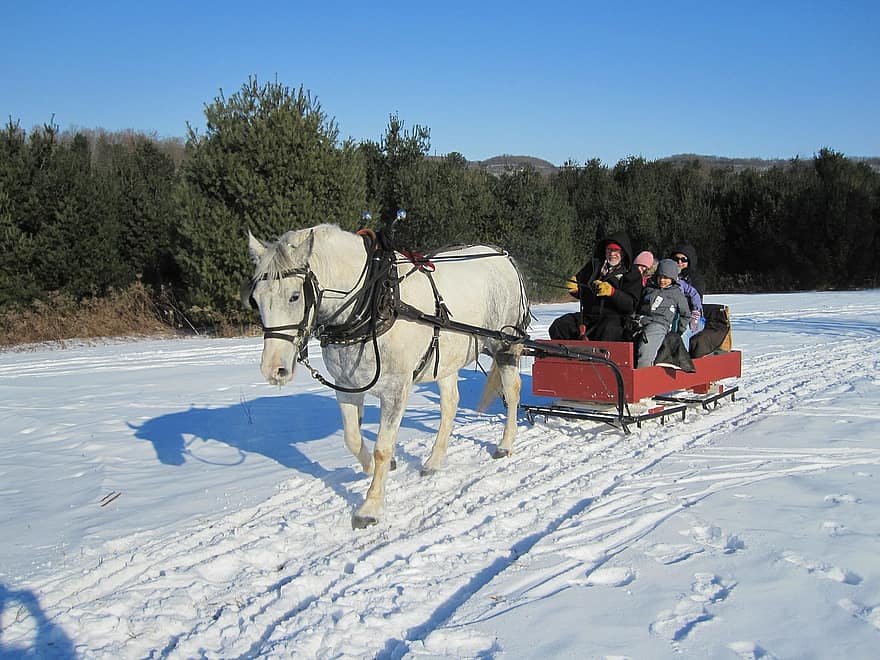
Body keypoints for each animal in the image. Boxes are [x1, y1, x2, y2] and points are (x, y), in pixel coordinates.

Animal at [244, 224, 528, 528]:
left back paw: (505, 444)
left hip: (505, 344)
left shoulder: (396, 389)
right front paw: (373, 468)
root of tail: (503, 255)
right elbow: (352, 438)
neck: (373, 304)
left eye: (294, 296)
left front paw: (370, 507)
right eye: (256, 299)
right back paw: (434, 461)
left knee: (512, 391)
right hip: (446, 359)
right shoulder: (345, 386)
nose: (274, 369)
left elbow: (382, 447)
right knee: (450, 404)